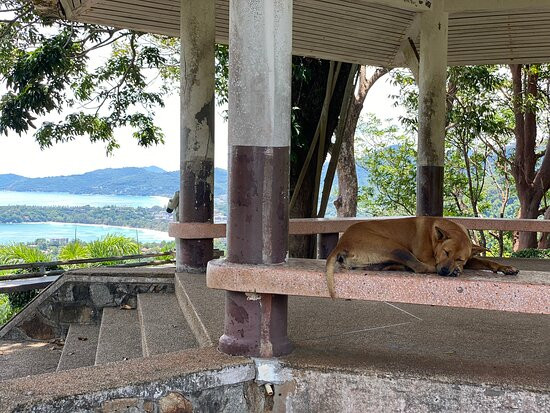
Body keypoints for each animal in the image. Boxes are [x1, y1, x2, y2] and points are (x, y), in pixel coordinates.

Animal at [328, 216, 520, 296]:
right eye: (446, 252)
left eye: (459, 258)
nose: (445, 271)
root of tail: (341, 242)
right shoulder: (431, 258)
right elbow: (428, 264)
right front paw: (455, 271)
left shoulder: (469, 259)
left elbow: (484, 260)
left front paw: (505, 267)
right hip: (393, 246)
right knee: (419, 267)